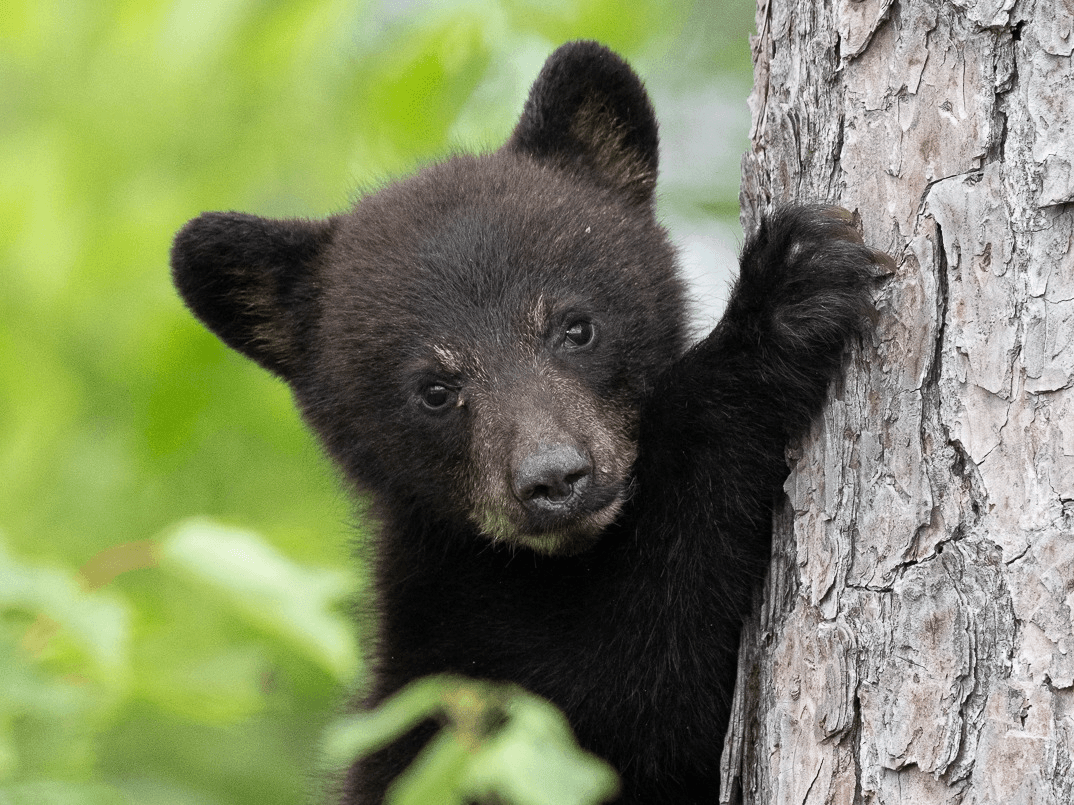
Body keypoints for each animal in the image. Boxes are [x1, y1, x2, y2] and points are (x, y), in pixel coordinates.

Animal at [171, 41, 884, 805]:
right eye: (434, 389)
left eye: (576, 327)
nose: (555, 477)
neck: (549, 564)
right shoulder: (481, 663)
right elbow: (643, 677)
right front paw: (781, 298)